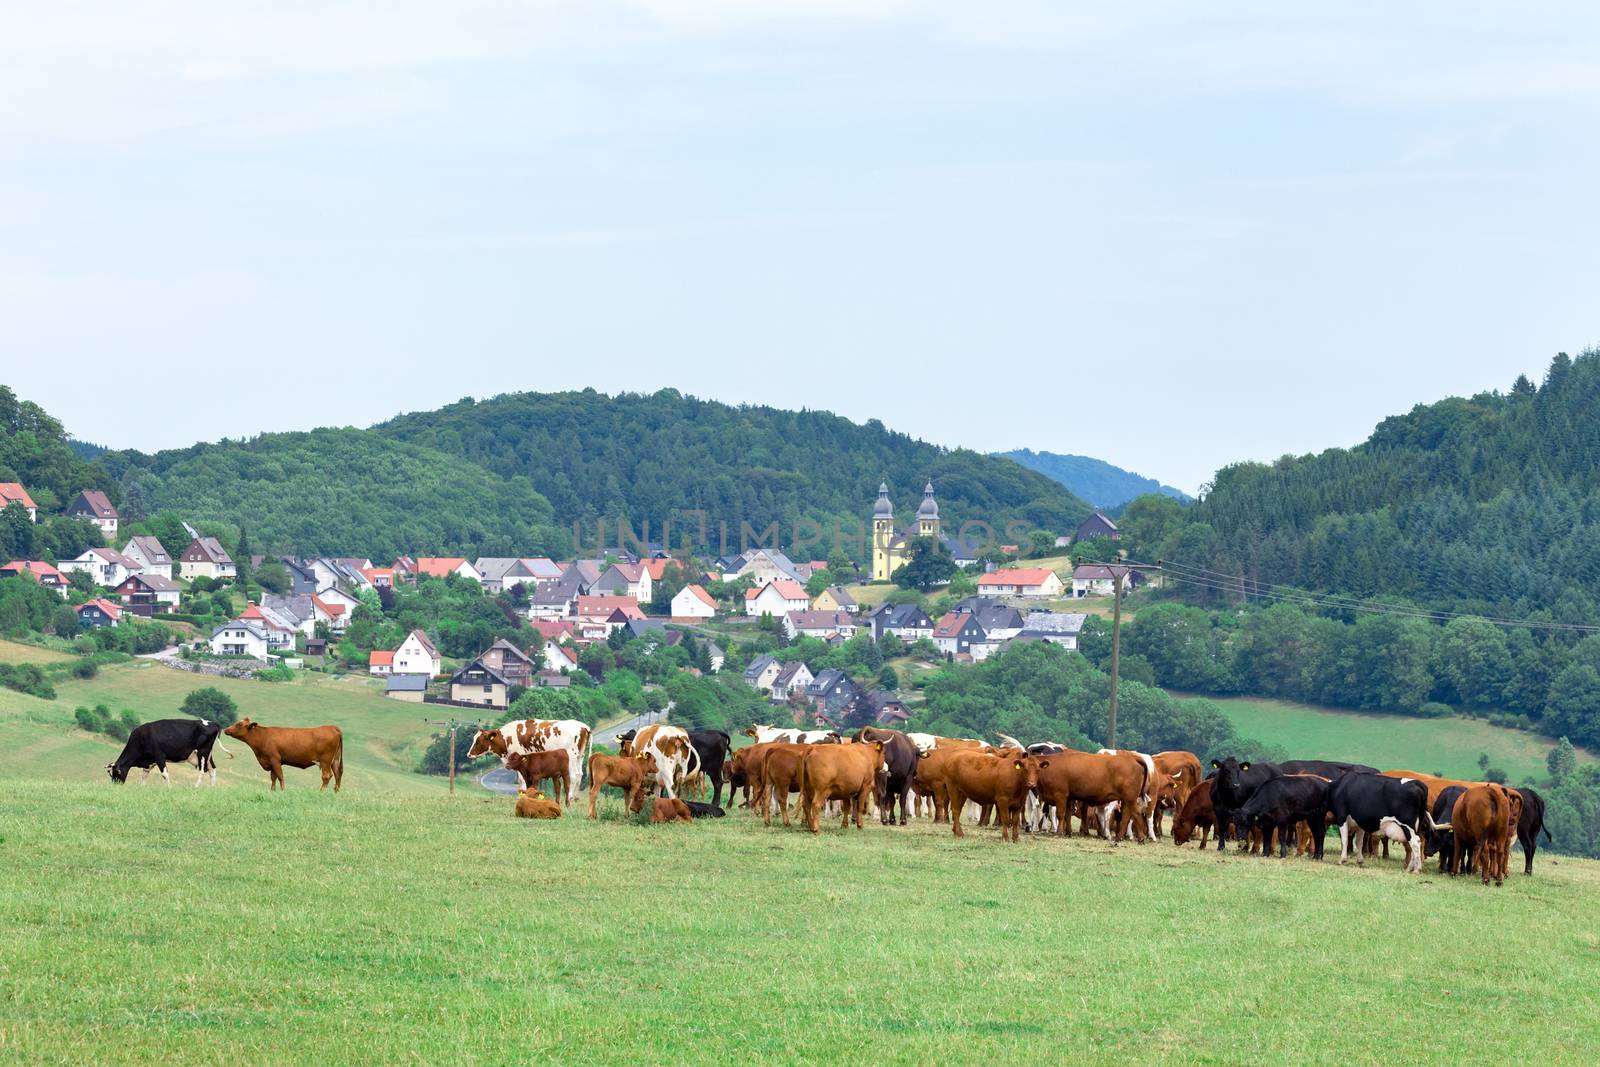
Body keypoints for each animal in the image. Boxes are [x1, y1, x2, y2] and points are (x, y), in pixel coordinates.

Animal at [467, 716, 595, 809]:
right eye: (473, 739)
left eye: (478, 741)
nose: (468, 754)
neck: (507, 737)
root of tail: (584, 726)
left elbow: (522, 780)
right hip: (580, 756)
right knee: (579, 775)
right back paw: (575, 798)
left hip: (571, 757)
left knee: (572, 776)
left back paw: (570, 798)